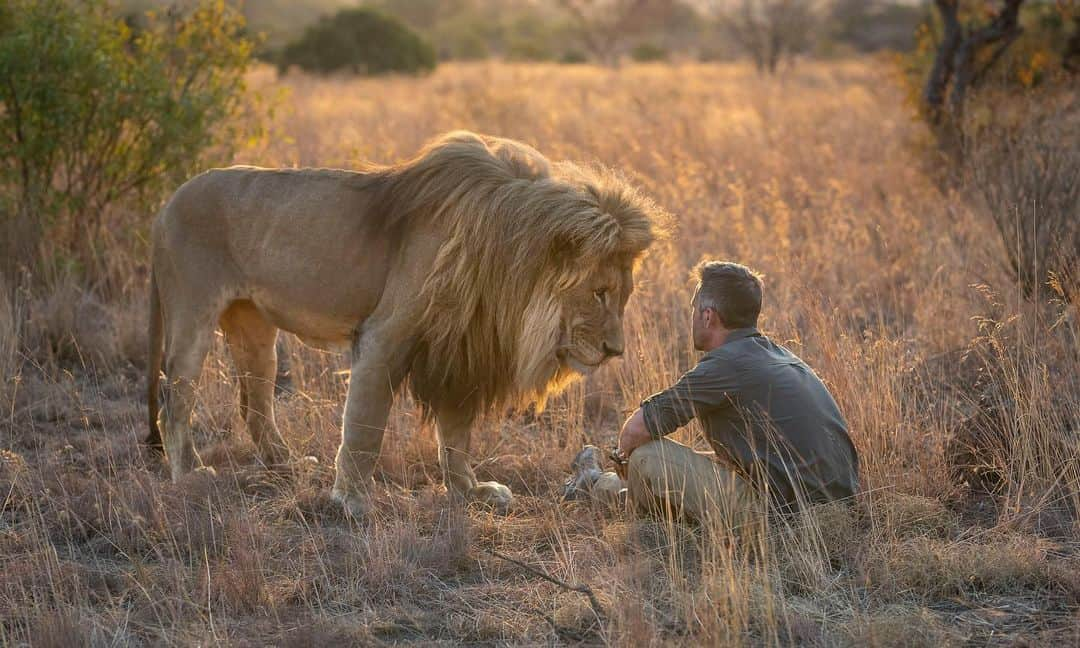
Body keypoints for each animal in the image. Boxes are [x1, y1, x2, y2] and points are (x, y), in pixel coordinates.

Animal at [145, 130, 665, 516]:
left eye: (623, 295)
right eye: (599, 293)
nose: (616, 350)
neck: (504, 261)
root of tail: (167, 202)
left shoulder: (461, 345)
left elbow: (456, 435)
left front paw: (470, 492)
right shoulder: (385, 336)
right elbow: (365, 425)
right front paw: (351, 501)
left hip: (253, 328)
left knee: (253, 402)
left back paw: (285, 464)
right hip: (191, 315)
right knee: (175, 399)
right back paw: (190, 474)